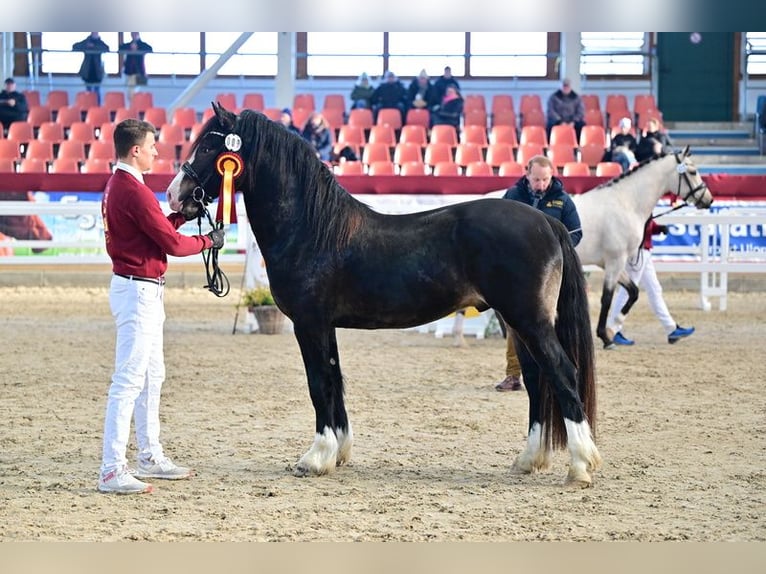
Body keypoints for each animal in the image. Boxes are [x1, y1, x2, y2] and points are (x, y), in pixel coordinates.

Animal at [170, 102, 608, 486]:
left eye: (208, 146)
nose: (175, 195)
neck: (312, 228)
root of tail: (548, 222)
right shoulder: (326, 327)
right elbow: (335, 380)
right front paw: (339, 452)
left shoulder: (309, 324)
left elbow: (318, 383)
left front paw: (315, 458)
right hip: (518, 323)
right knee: (536, 379)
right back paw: (528, 460)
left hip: (529, 321)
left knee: (562, 373)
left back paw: (580, 466)